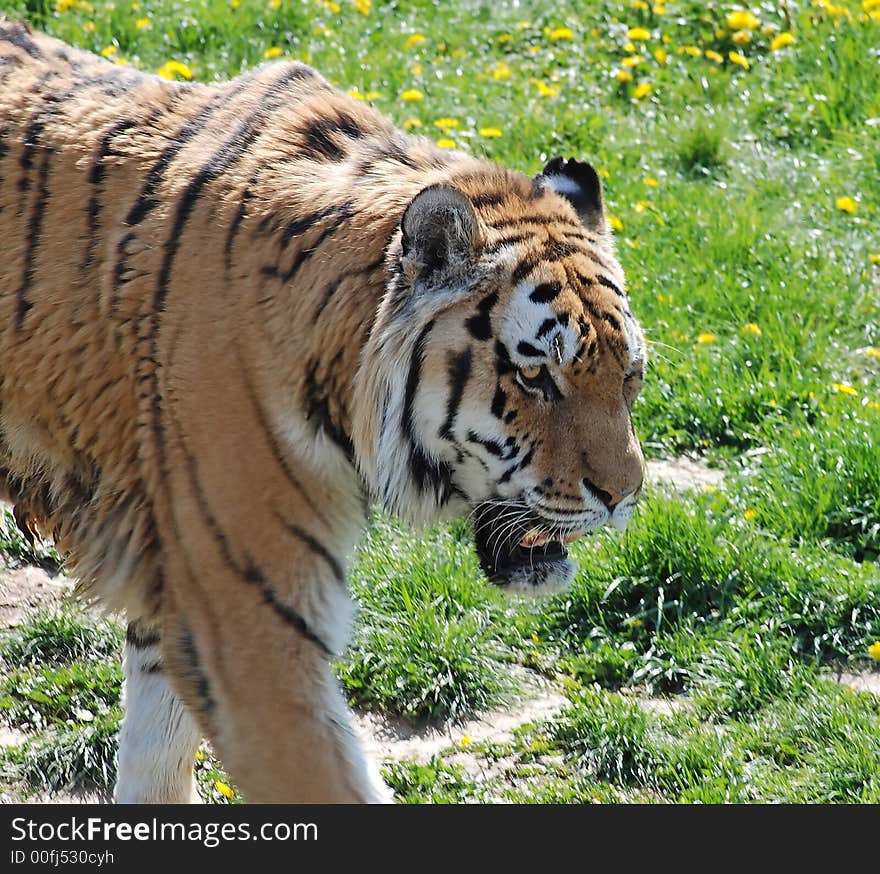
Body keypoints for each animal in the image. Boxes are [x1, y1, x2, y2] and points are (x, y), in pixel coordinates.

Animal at [0, 20, 648, 800]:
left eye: (630, 377)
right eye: (535, 377)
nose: (624, 497)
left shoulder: (181, 595)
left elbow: (155, 759)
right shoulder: (250, 623)